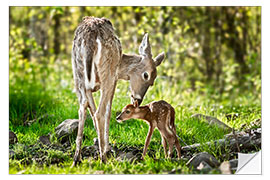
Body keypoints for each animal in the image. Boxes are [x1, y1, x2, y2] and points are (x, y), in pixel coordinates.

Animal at [71, 16, 165, 166]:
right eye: (147, 76)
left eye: (152, 82)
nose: (138, 99)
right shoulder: (114, 79)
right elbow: (107, 112)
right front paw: (107, 150)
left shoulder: (88, 88)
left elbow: (90, 109)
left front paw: (100, 144)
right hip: (107, 72)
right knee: (100, 112)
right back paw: (103, 158)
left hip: (78, 73)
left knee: (83, 108)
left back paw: (76, 159)